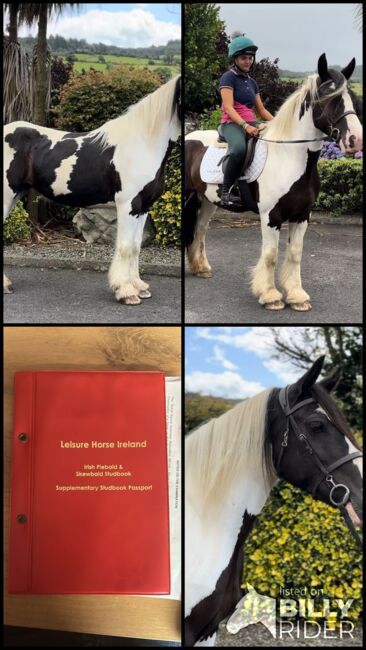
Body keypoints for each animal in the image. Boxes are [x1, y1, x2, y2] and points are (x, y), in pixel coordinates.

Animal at [4, 74, 182, 302]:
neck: (143, 143)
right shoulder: (128, 205)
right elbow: (125, 247)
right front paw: (126, 292)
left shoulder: (143, 207)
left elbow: (135, 246)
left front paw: (139, 286)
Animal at [186, 54, 364, 310]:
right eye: (330, 98)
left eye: (352, 98)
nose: (355, 140)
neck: (290, 157)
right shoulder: (271, 216)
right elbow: (270, 255)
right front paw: (270, 296)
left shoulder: (302, 216)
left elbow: (295, 253)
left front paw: (297, 296)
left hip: (208, 200)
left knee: (200, 229)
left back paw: (201, 268)